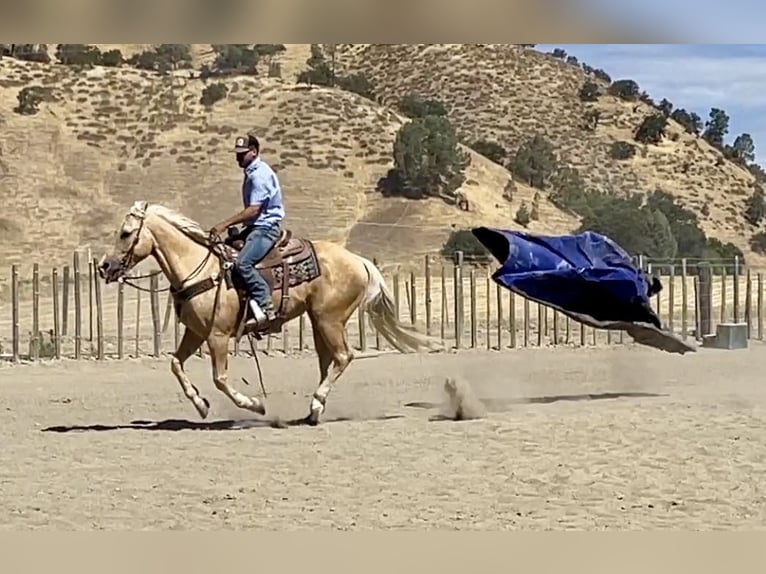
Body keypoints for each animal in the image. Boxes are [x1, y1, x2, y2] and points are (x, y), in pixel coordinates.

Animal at [97, 200, 444, 426]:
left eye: (126, 233)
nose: (104, 266)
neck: (200, 268)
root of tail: (359, 260)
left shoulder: (218, 336)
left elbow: (220, 379)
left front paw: (255, 405)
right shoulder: (196, 332)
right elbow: (175, 364)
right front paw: (201, 405)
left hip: (330, 319)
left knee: (343, 357)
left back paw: (316, 403)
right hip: (318, 321)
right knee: (328, 361)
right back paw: (313, 411)